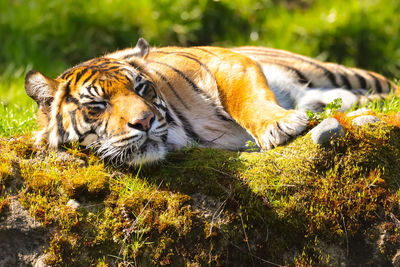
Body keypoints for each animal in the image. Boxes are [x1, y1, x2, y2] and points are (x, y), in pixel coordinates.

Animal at [25, 37, 396, 168]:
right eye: (98, 106)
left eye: (142, 89)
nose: (144, 122)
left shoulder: (224, 59)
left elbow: (246, 97)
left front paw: (278, 126)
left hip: (337, 72)